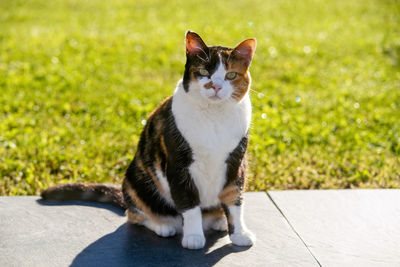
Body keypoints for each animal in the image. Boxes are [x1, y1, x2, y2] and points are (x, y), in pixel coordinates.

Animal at [41, 31, 256, 251]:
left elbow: (234, 200)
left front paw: (239, 234)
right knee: (134, 214)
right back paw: (163, 225)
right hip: (135, 179)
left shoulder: (237, 163)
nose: (216, 86)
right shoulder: (178, 165)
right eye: (204, 71)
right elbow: (189, 205)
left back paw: (219, 221)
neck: (214, 117)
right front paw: (193, 236)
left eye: (231, 75)